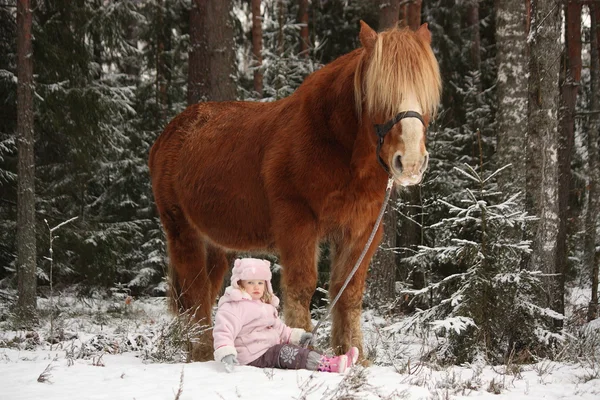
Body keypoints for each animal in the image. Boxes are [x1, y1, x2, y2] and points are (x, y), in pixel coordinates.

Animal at [149, 20, 440, 360]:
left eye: (426, 94)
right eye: (378, 92)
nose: (410, 162)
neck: (335, 148)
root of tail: (168, 134)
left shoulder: (362, 230)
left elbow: (349, 291)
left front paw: (354, 355)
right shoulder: (297, 224)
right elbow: (302, 288)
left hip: (214, 242)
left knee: (206, 290)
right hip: (182, 231)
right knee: (195, 292)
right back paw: (203, 351)